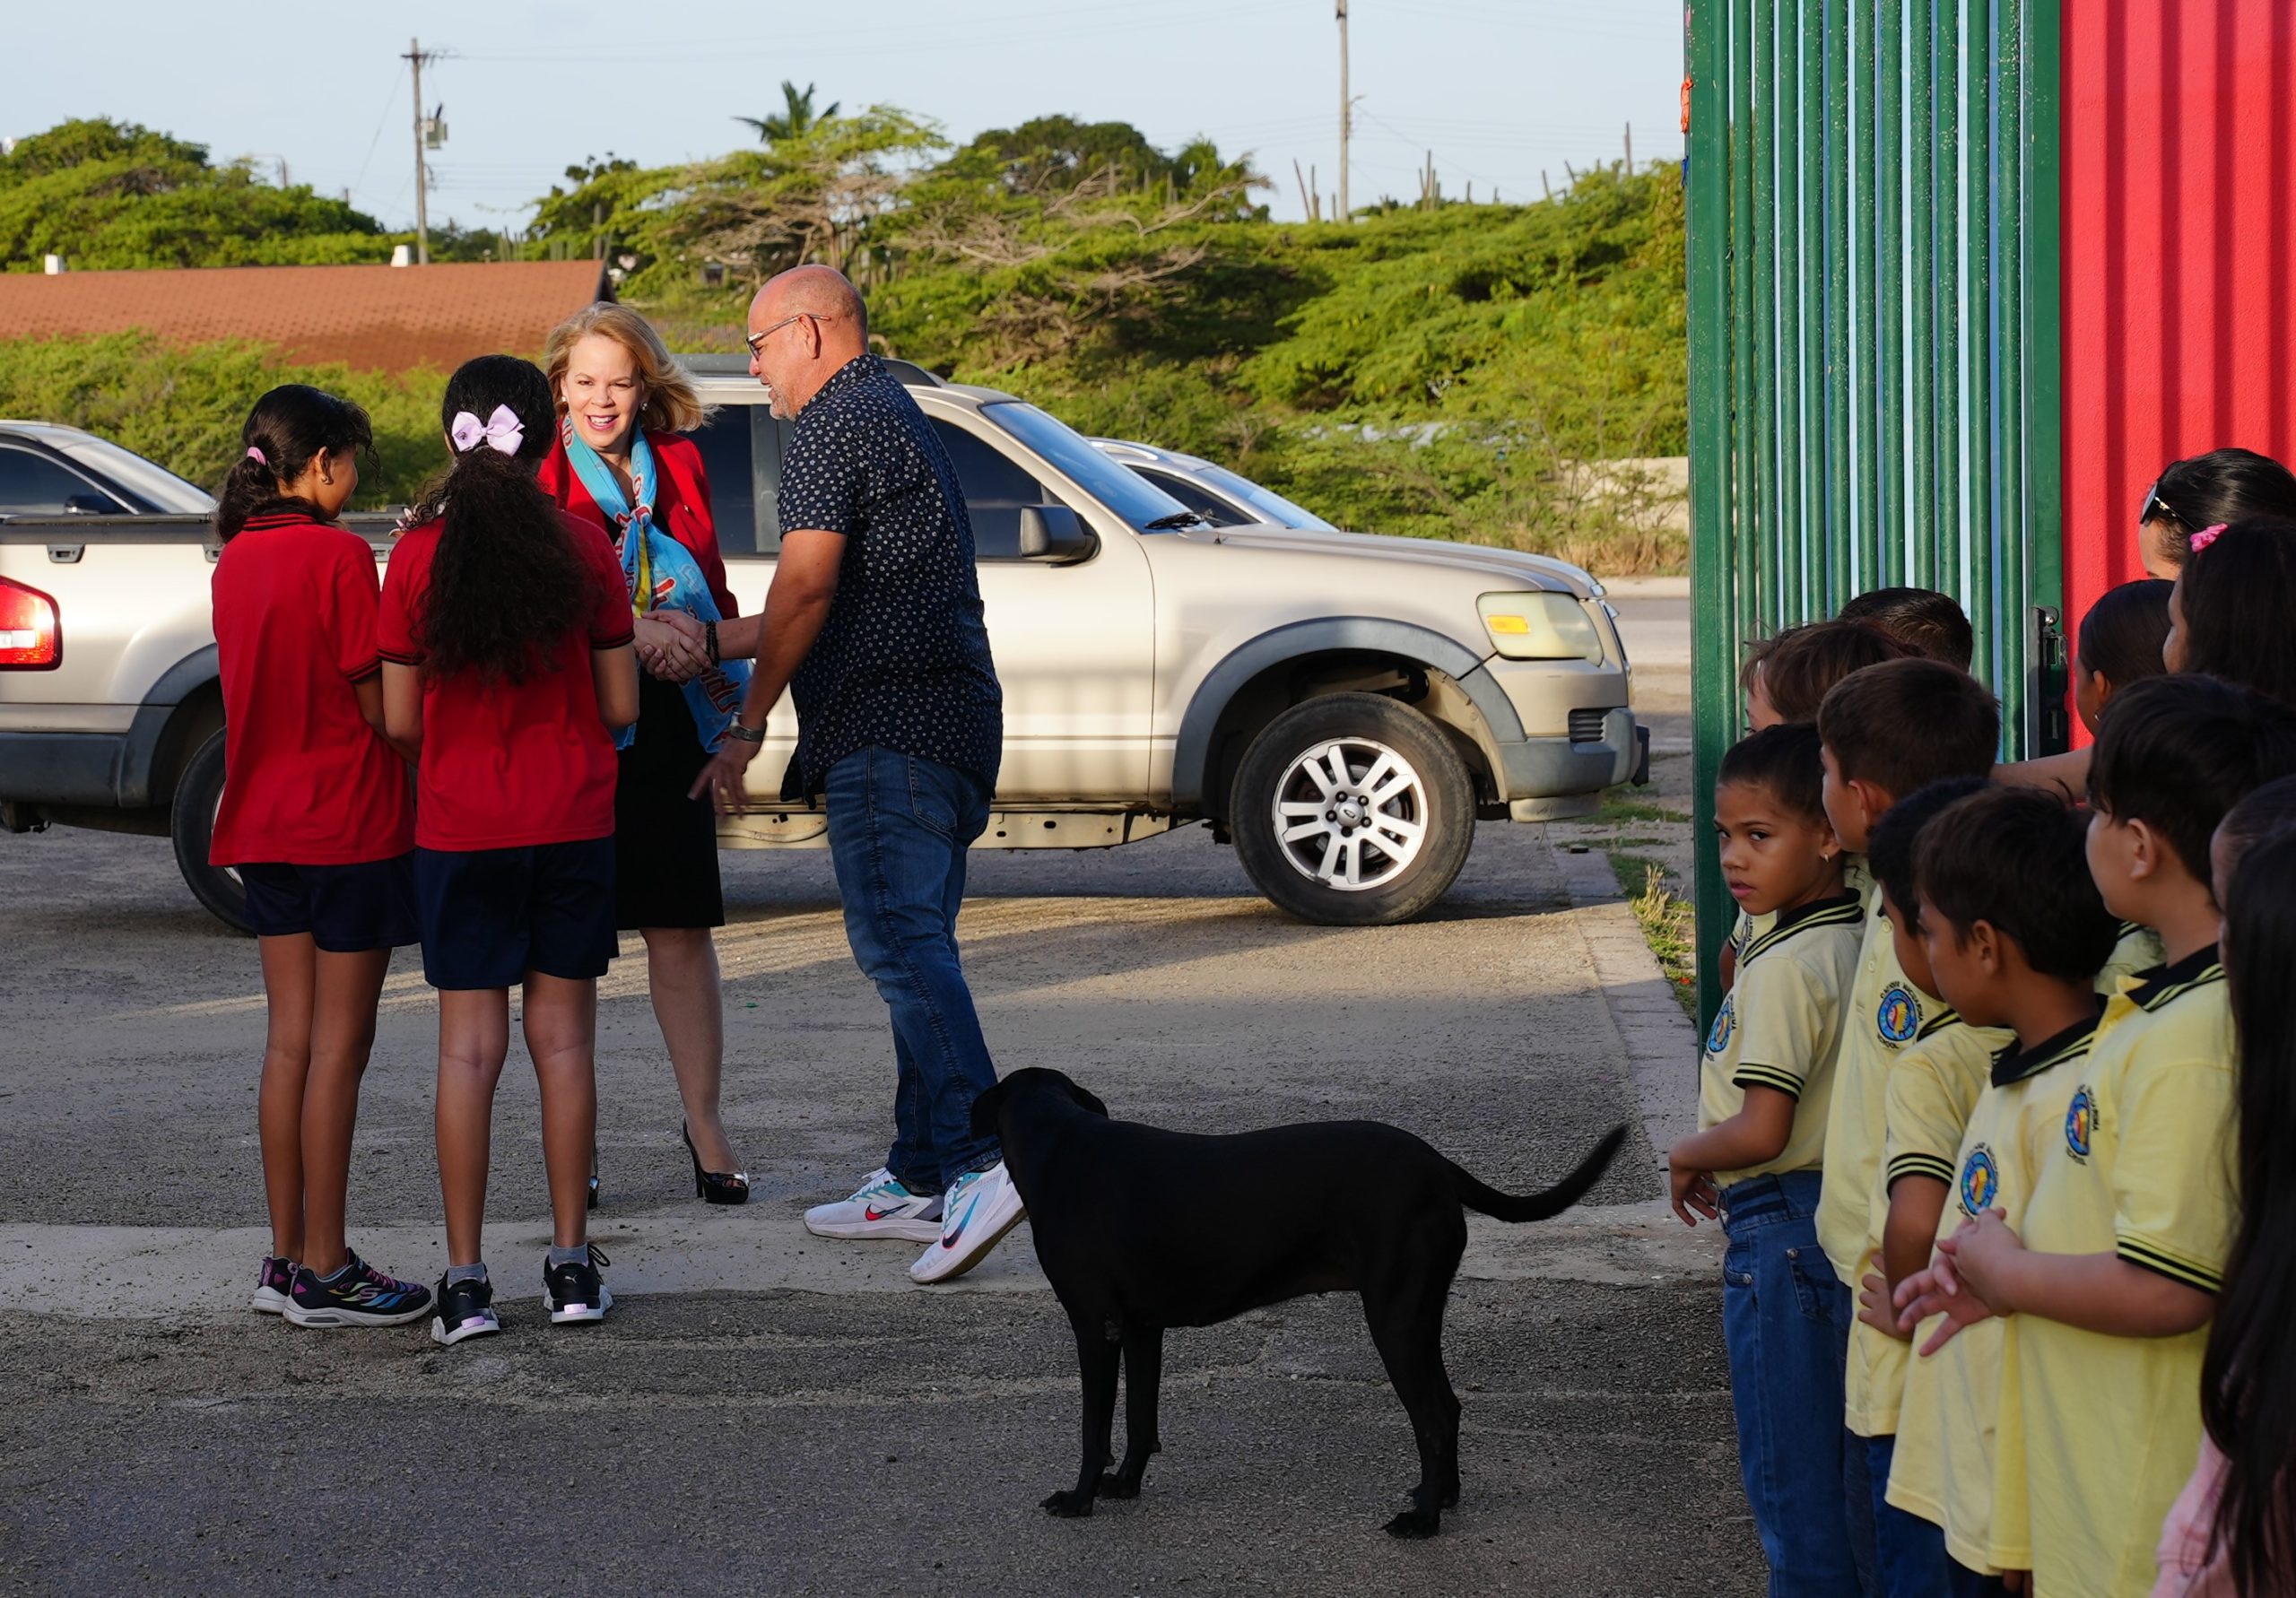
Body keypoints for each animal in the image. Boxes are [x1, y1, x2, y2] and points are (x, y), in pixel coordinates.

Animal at [973, 1065, 1634, 1542]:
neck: (1061, 1146)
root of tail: (1438, 1166)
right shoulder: (1140, 1330)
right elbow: (1141, 1419)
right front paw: (1126, 1485)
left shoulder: (1095, 1326)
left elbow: (1094, 1428)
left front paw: (1080, 1498)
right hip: (1416, 1315)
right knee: (1447, 1407)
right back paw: (1439, 1497)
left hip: (1394, 1317)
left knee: (1434, 1415)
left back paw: (1423, 1521)